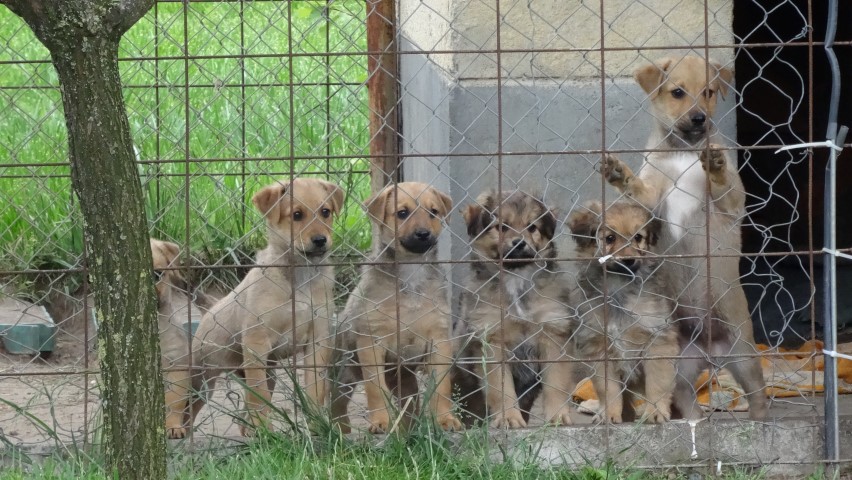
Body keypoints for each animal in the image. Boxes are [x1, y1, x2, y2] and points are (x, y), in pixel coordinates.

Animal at [191, 177, 344, 435]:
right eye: (296, 215)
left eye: (326, 212)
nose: (320, 240)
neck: (299, 277)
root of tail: (208, 312)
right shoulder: (257, 342)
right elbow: (259, 395)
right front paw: (265, 429)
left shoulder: (317, 340)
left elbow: (314, 388)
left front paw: (316, 427)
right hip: (202, 376)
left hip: (263, 371)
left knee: (245, 411)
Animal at [331, 182, 461, 434]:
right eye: (402, 213)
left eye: (433, 212)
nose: (423, 234)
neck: (410, 272)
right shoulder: (371, 343)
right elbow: (375, 388)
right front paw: (380, 422)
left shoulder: (439, 341)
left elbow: (441, 388)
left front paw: (444, 419)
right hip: (345, 372)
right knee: (336, 400)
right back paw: (338, 428)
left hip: (403, 380)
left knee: (409, 405)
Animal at [452, 190, 575, 429]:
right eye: (501, 227)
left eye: (532, 227)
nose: (519, 243)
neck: (516, 277)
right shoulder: (492, 340)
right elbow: (501, 389)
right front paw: (509, 418)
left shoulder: (552, 332)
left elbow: (555, 383)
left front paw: (557, 416)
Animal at [567, 201, 678, 424]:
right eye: (610, 238)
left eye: (638, 237)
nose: (628, 260)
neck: (618, 286)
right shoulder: (599, 349)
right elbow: (608, 390)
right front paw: (608, 415)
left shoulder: (658, 340)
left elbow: (658, 383)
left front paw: (655, 412)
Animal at [601, 55, 768, 419]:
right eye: (677, 92)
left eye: (709, 92)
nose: (699, 118)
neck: (683, 152)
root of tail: (710, 354)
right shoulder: (652, 200)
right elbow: (639, 189)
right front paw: (620, 174)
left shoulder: (731, 202)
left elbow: (724, 183)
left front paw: (715, 163)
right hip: (678, 368)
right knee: (686, 403)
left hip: (744, 355)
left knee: (758, 394)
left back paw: (761, 419)